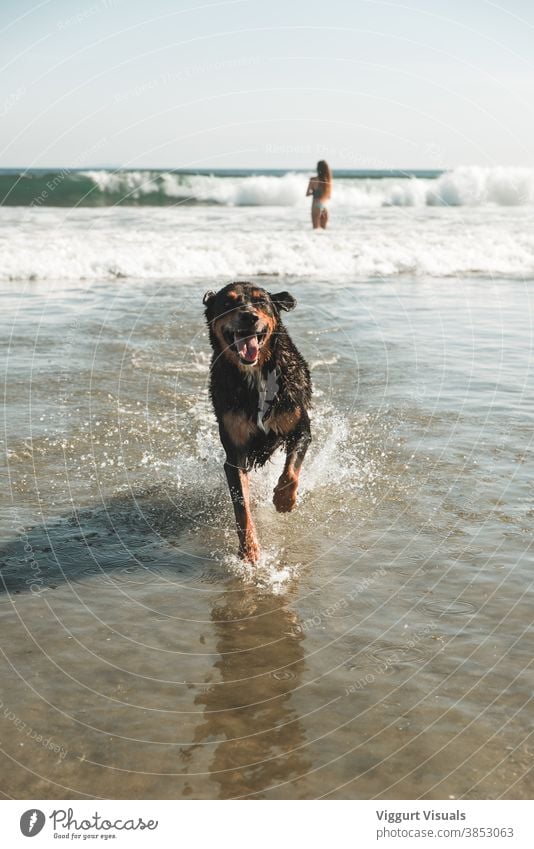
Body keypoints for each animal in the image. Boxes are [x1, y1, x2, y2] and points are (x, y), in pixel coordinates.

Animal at [205, 284, 314, 564]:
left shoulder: (300, 427)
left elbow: (291, 471)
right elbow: (241, 506)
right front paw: (249, 550)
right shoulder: (234, 453)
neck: (255, 375)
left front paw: (283, 500)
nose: (248, 316)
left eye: (260, 301)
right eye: (228, 303)